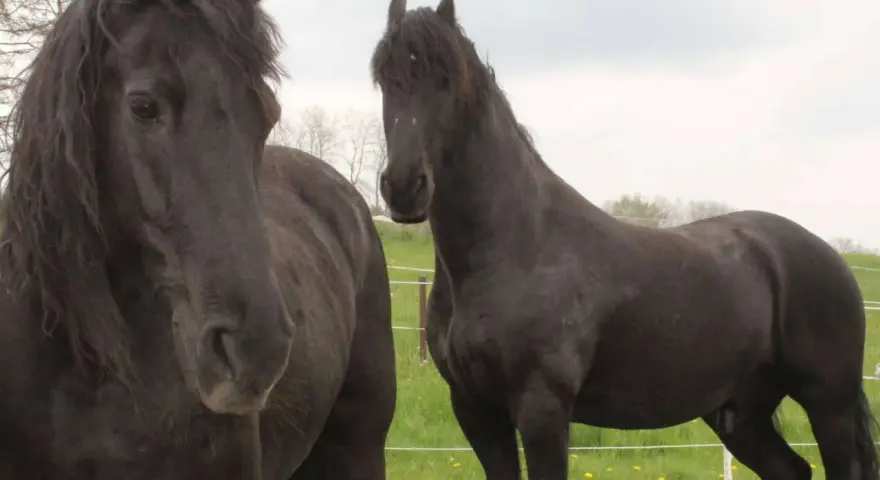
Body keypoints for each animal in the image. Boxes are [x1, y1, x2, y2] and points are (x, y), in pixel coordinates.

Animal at [370, 0, 878, 478]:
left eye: (445, 79)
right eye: (384, 78)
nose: (404, 186)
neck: (515, 248)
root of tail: (827, 255)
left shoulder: (542, 409)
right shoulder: (475, 409)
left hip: (828, 403)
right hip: (742, 413)